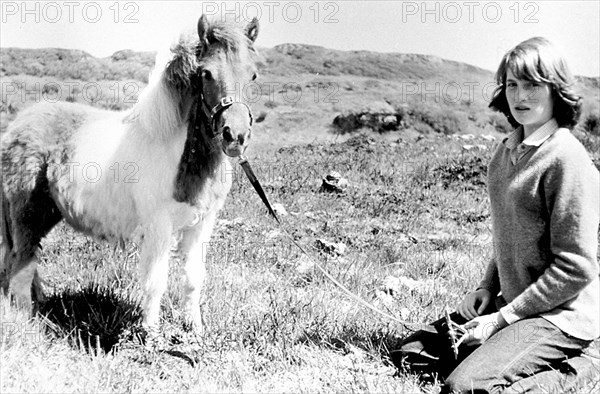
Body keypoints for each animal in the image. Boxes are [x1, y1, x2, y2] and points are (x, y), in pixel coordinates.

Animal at [2, 16, 260, 336]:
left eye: (253, 75)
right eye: (206, 73)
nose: (235, 135)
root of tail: (16, 126)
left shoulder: (202, 225)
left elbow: (193, 279)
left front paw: (196, 331)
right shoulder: (158, 227)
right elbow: (155, 282)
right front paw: (151, 335)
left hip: (47, 214)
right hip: (27, 215)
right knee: (20, 269)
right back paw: (26, 325)